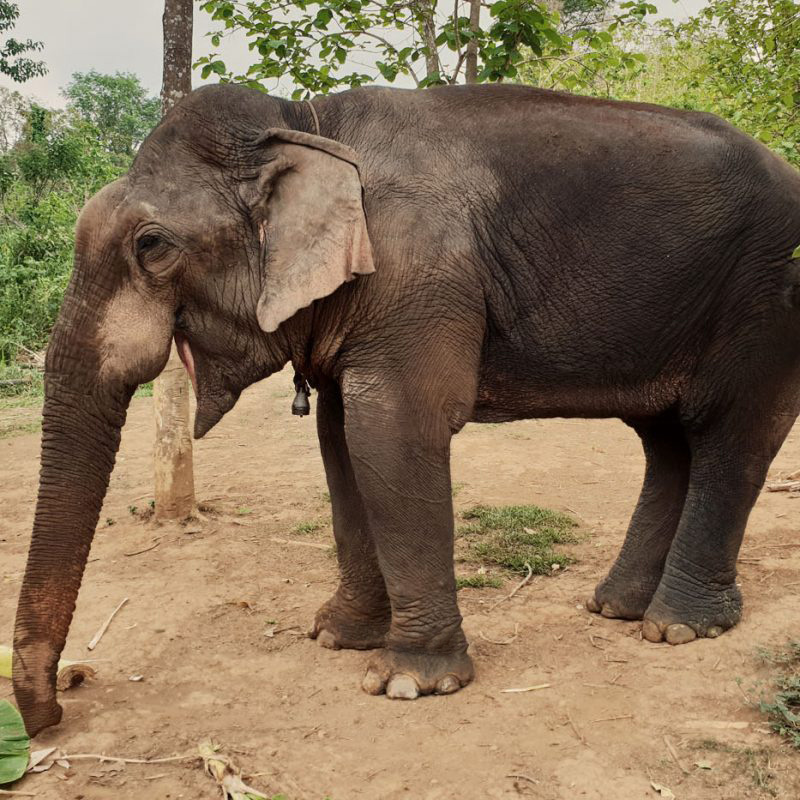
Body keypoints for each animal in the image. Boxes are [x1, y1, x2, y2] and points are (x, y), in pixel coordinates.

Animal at [10, 83, 800, 736]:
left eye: (152, 246)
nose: (59, 705)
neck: (304, 122)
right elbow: (339, 440)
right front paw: (336, 637)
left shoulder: (418, 280)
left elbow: (389, 430)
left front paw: (408, 683)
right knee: (665, 440)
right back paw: (617, 608)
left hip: (767, 299)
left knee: (728, 435)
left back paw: (677, 628)